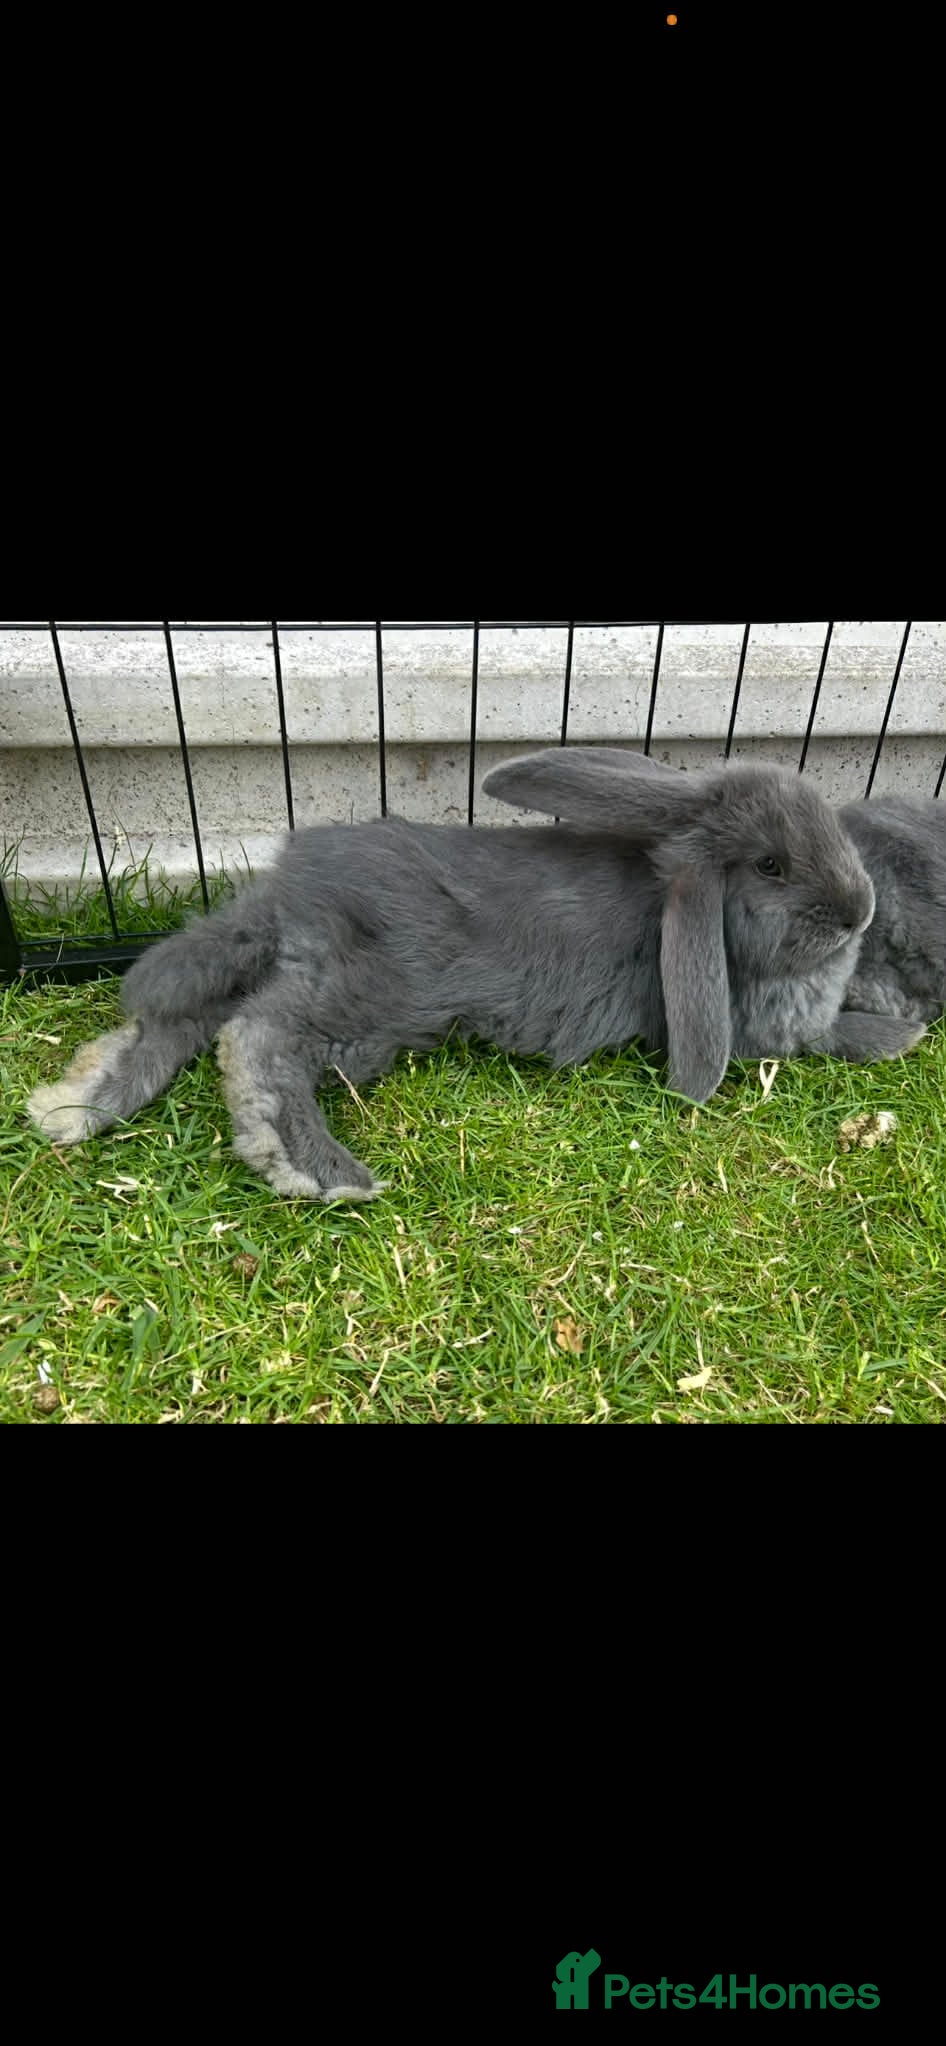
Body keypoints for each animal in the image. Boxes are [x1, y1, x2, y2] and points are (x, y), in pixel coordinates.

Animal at [26, 748, 933, 1203]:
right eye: (773, 866)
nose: (858, 912)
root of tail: (289, 891)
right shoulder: (763, 1033)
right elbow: (827, 1037)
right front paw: (900, 1034)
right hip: (366, 1000)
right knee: (257, 1039)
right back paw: (317, 1171)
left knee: (178, 1018)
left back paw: (75, 1102)